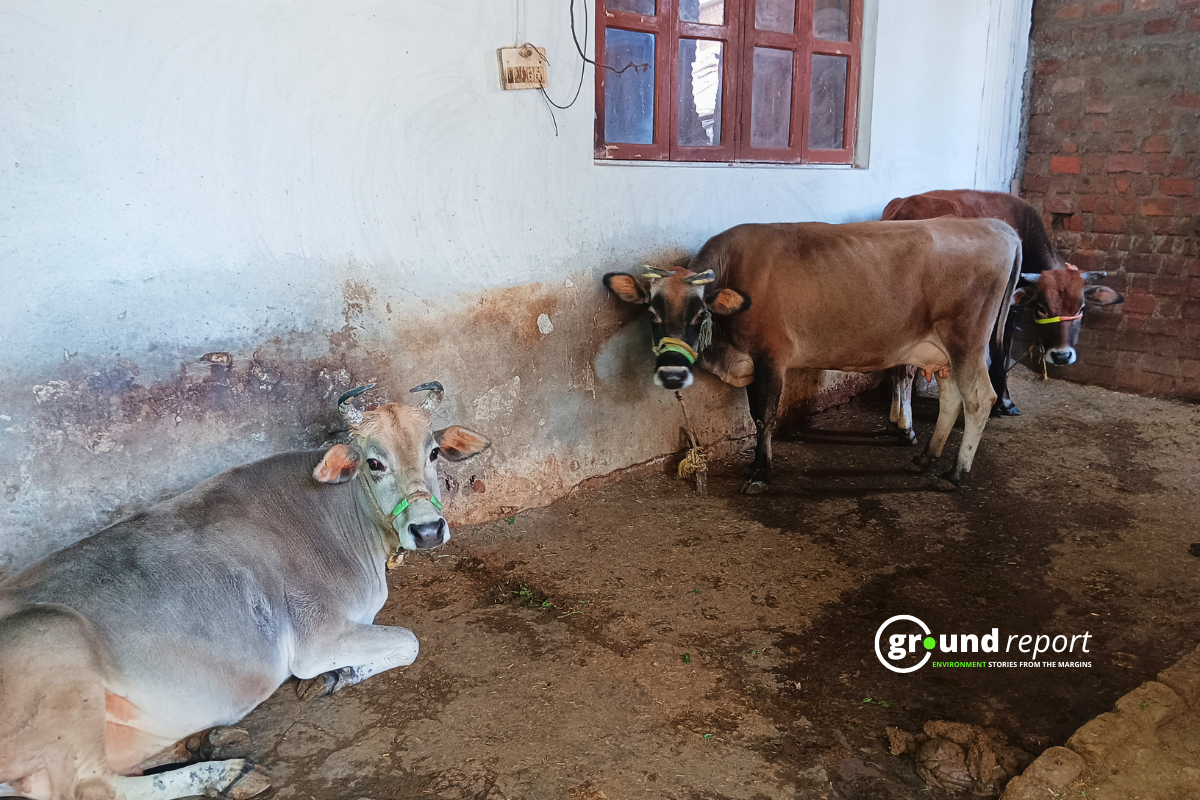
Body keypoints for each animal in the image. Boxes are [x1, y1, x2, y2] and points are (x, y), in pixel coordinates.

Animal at [0, 382, 489, 800]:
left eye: (433, 452)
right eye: (374, 463)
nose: (427, 530)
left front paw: (337, 676)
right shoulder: (316, 637)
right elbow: (409, 641)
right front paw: (337, 674)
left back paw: (207, 742)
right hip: (55, 641)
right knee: (91, 785)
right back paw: (229, 773)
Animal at [603, 218, 1022, 493]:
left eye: (699, 315)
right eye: (652, 315)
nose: (673, 375)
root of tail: (998, 227)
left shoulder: (771, 357)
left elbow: (764, 416)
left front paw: (760, 472)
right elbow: (757, 414)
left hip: (966, 341)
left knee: (980, 398)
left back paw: (957, 472)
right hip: (942, 353)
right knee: (952, 399)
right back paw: (926, 457)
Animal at [882, 189, 1123, 425]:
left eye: (1081, 308)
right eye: (1042, 308)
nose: (1062, 356)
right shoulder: (1006, 310)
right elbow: (1002, 350)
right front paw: (1004, 402)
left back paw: (898, 413)